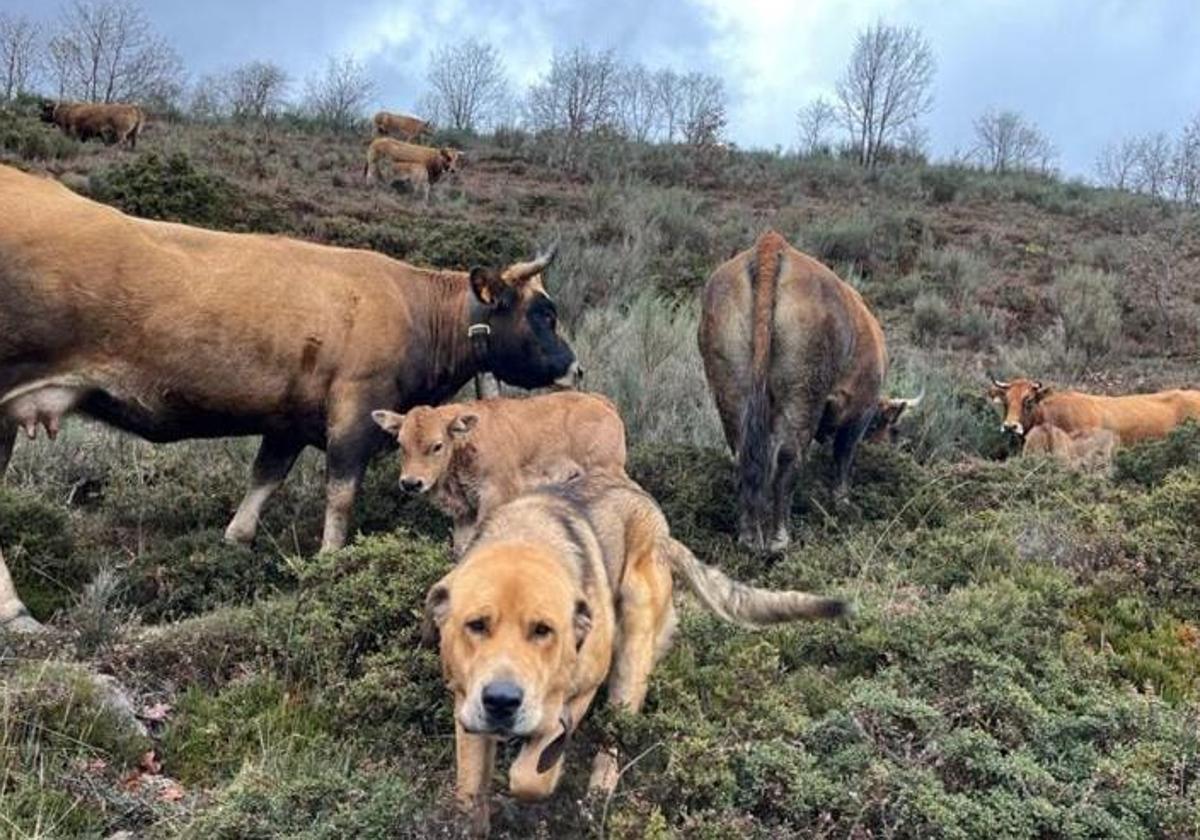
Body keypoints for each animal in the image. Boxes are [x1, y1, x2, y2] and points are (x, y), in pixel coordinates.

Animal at [0, 162, 580, 578]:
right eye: (544, 312)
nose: (575, 369)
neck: (414, 308)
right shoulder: (354, 416)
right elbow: (341, 496)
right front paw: (329, 562)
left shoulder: (288, 423)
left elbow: (264, 481)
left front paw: (235, 542)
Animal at [369, 391, 624, 554]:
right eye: (401, 443)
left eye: (437, 445)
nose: (411, 483)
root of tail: (600, 402)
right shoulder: (465, 513)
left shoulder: (494, 497)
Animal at [422, 472, 844, 835]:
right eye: (476, 625)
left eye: (543, 630)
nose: (501, 700)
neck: (526, 539)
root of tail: (660, 526)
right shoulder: (466, 706)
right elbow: (469, 789)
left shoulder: (578, 693)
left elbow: (532, 773)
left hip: (632, 647)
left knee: (613, 742)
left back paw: (593, 806)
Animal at [700, 229, 888, 554]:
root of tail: (772, 245)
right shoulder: (860, 411)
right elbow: (844, 455)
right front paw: (842, 503)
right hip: (802, 393)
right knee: (787, 459)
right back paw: (779, 540)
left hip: (731, 388)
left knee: (743, 456)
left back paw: (750, 538)